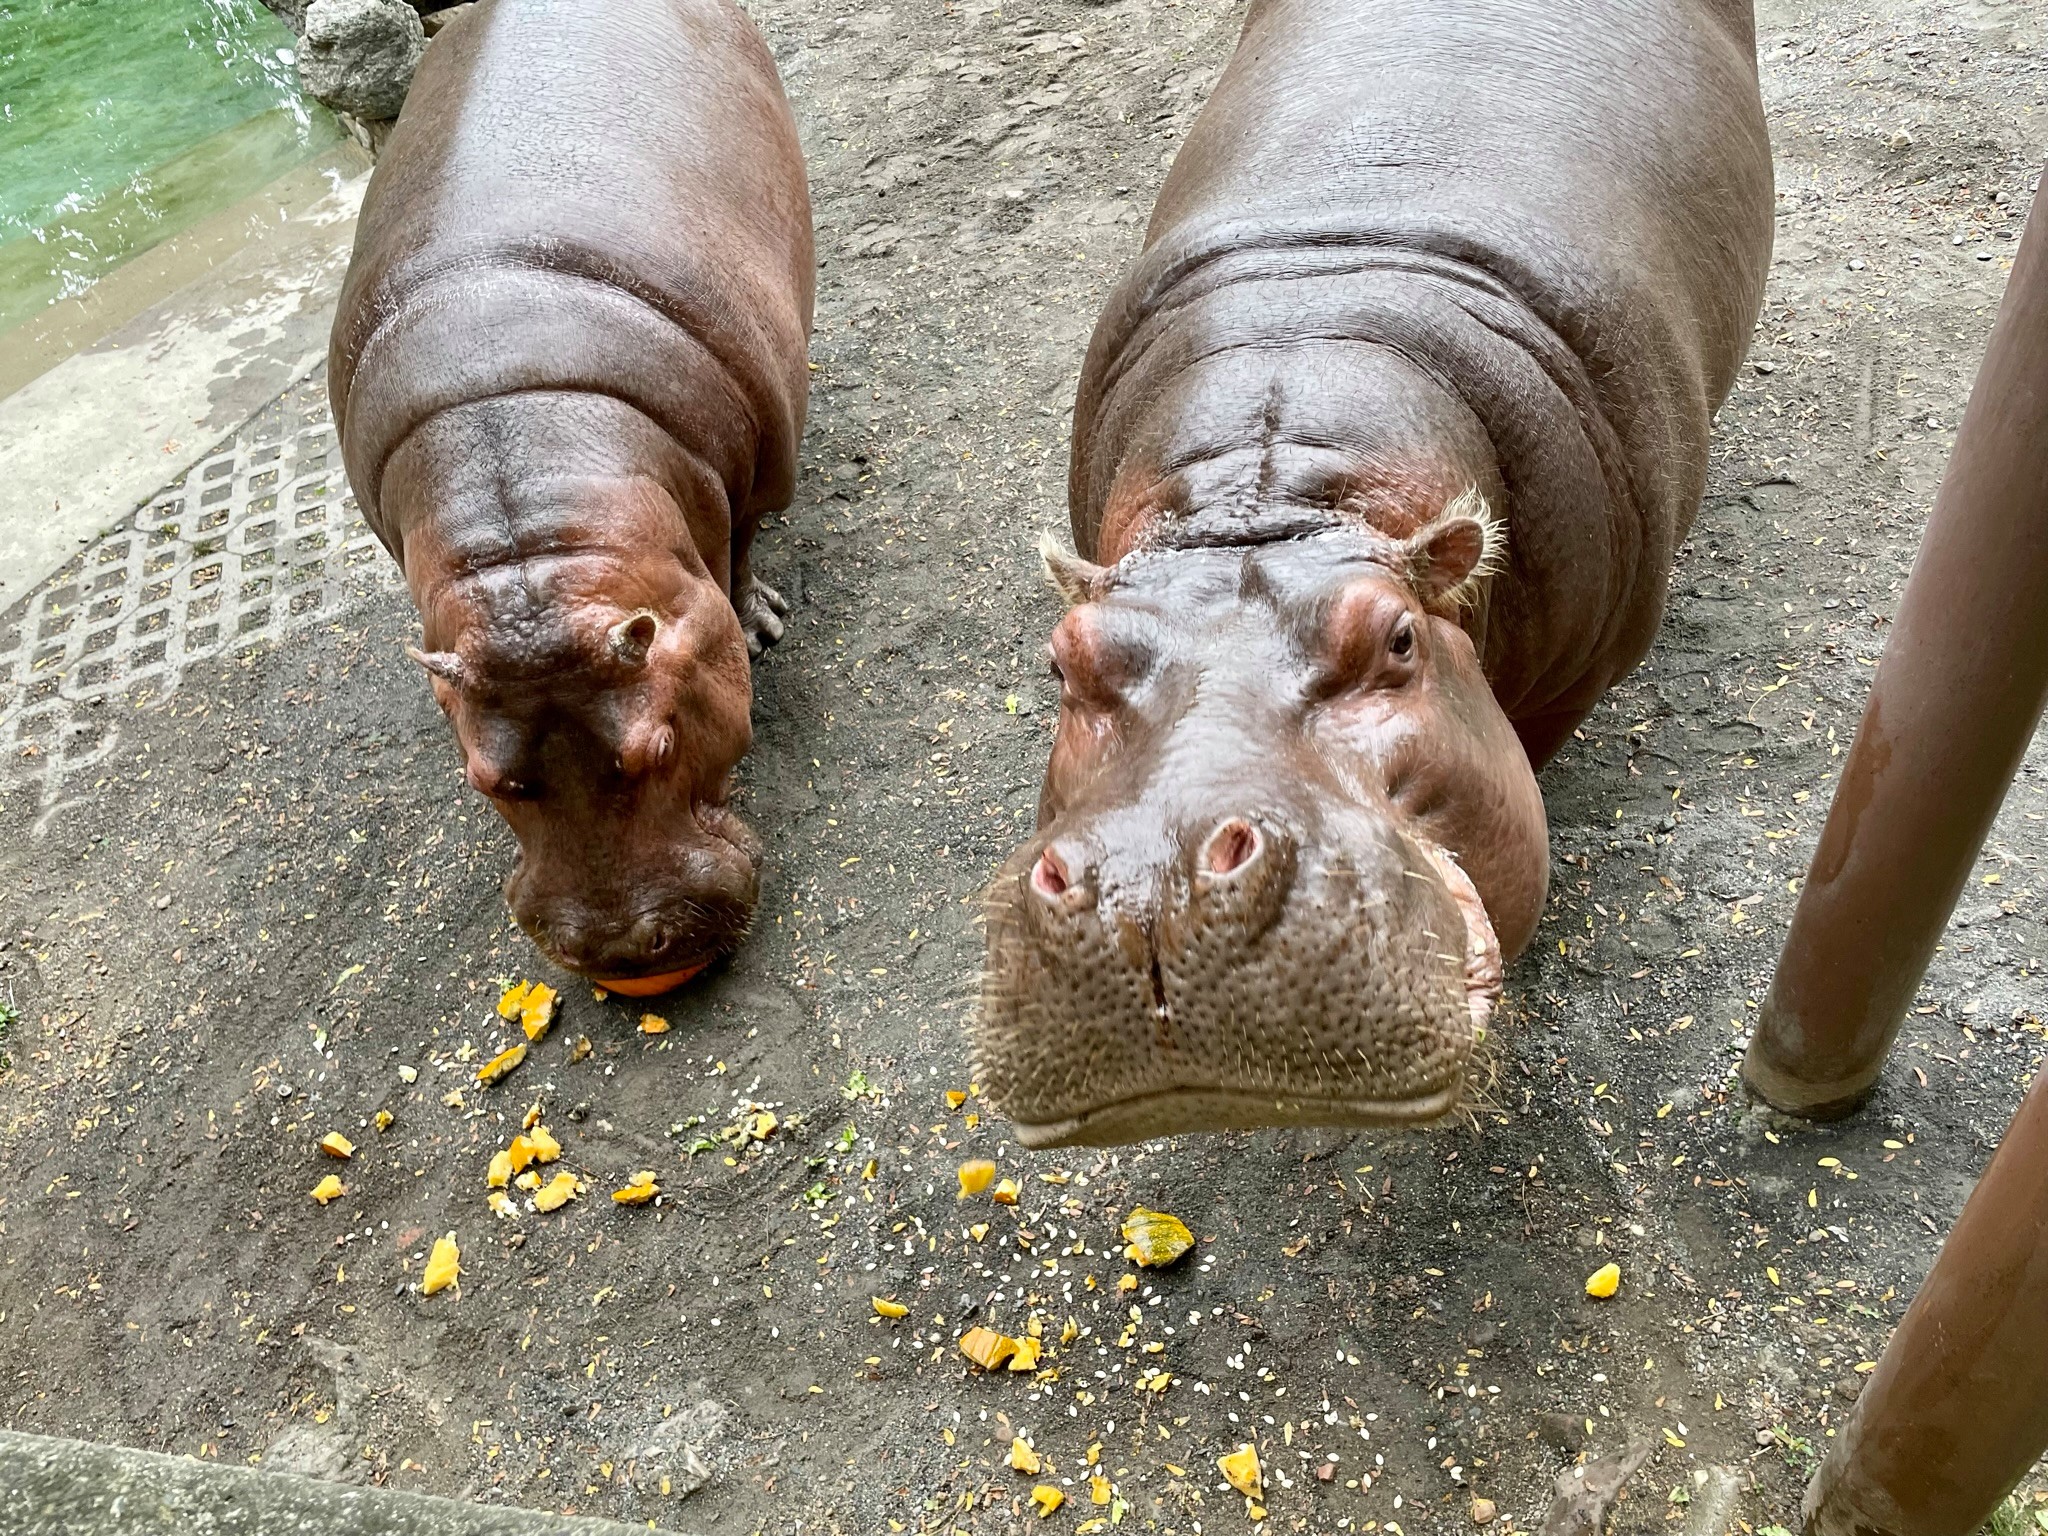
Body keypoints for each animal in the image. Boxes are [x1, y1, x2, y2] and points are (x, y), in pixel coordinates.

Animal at [328, 0, 813, 994]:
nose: (620, 946)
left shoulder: (752, 486)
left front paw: (759, 627)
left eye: (658, 745)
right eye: (485, 779)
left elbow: (744, 546)